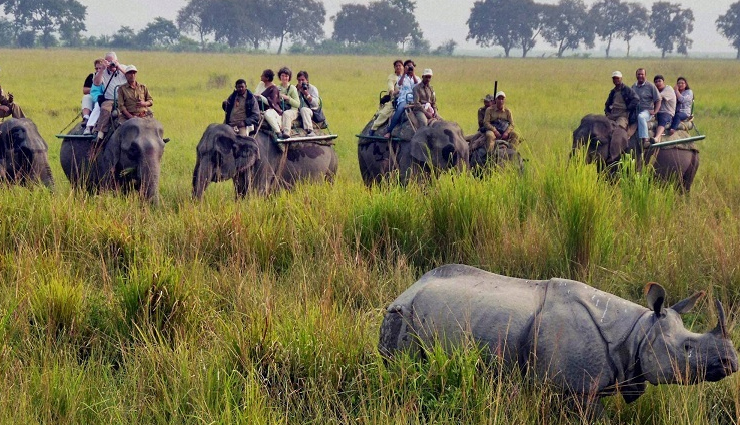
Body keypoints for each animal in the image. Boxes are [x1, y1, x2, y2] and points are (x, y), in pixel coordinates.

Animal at [192, 123, 338, 199]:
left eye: (217, 156)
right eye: (197, 151)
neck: (239, 134)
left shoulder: (263, 163)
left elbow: (257, 194)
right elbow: (240, 193)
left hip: (332, 168)